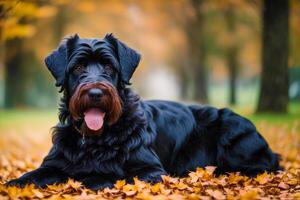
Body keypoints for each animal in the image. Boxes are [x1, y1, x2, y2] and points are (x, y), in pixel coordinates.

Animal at [5, 33, 282, 190]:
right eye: (79, 67)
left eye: (109, 66)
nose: (95, 93)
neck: (97, 136)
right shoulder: (54, 163)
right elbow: (33, 175)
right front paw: (15, 183)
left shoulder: (150, 171)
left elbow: (109, 175)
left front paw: (91, 178)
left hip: (234, 135)